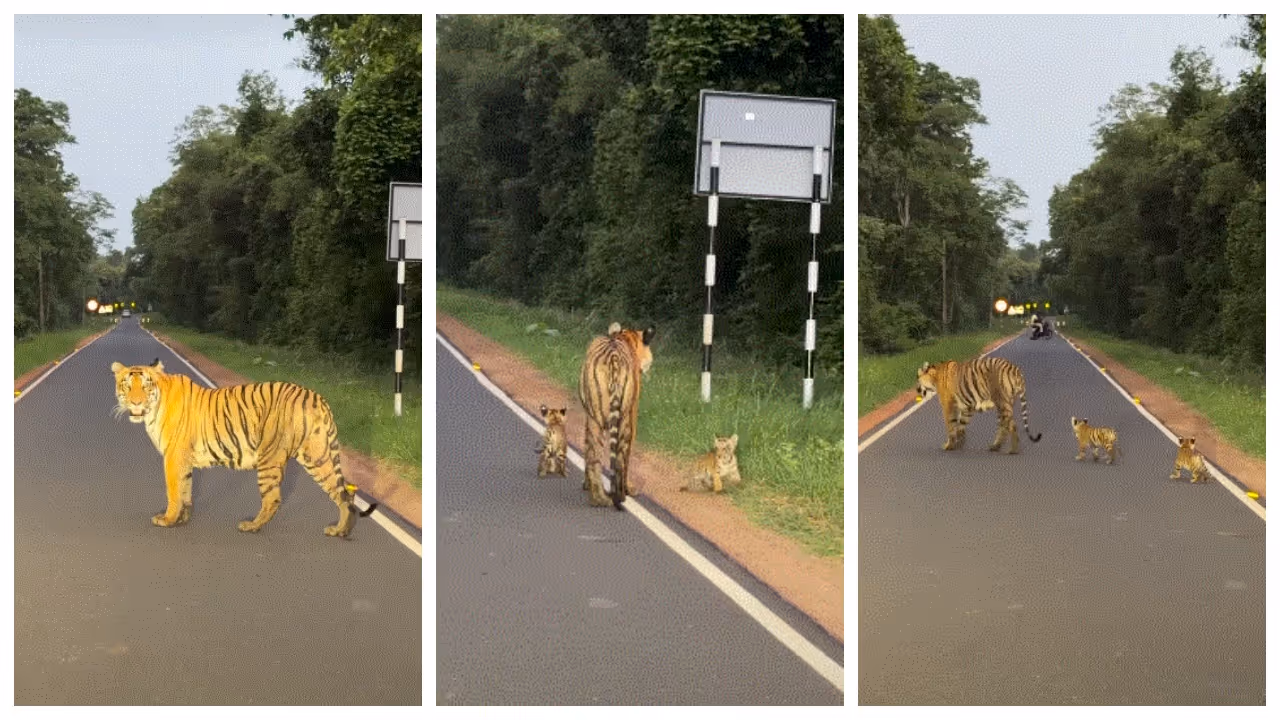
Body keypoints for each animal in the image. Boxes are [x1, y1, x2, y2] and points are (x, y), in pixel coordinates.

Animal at [111, 359, 376, 537]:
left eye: (146, 386)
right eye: (127, 386)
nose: (136, 403)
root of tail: (317, 397)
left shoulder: (173, 457)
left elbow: (174, 491)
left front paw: (167, 520)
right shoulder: (182, 460)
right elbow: (185, 489)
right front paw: (182, 520)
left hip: (270, 458)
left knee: (273, 498)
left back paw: (251, 526)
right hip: (318, 455)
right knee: (342, 492)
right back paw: (340, 530)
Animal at [578, 322, 654, 510]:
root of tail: (613, 357)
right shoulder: (632, 415)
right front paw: (629, 489)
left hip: (597, 420)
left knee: (596, 457)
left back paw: (601, 497)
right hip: (620, 420)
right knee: (616, 458)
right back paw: (613, 496)